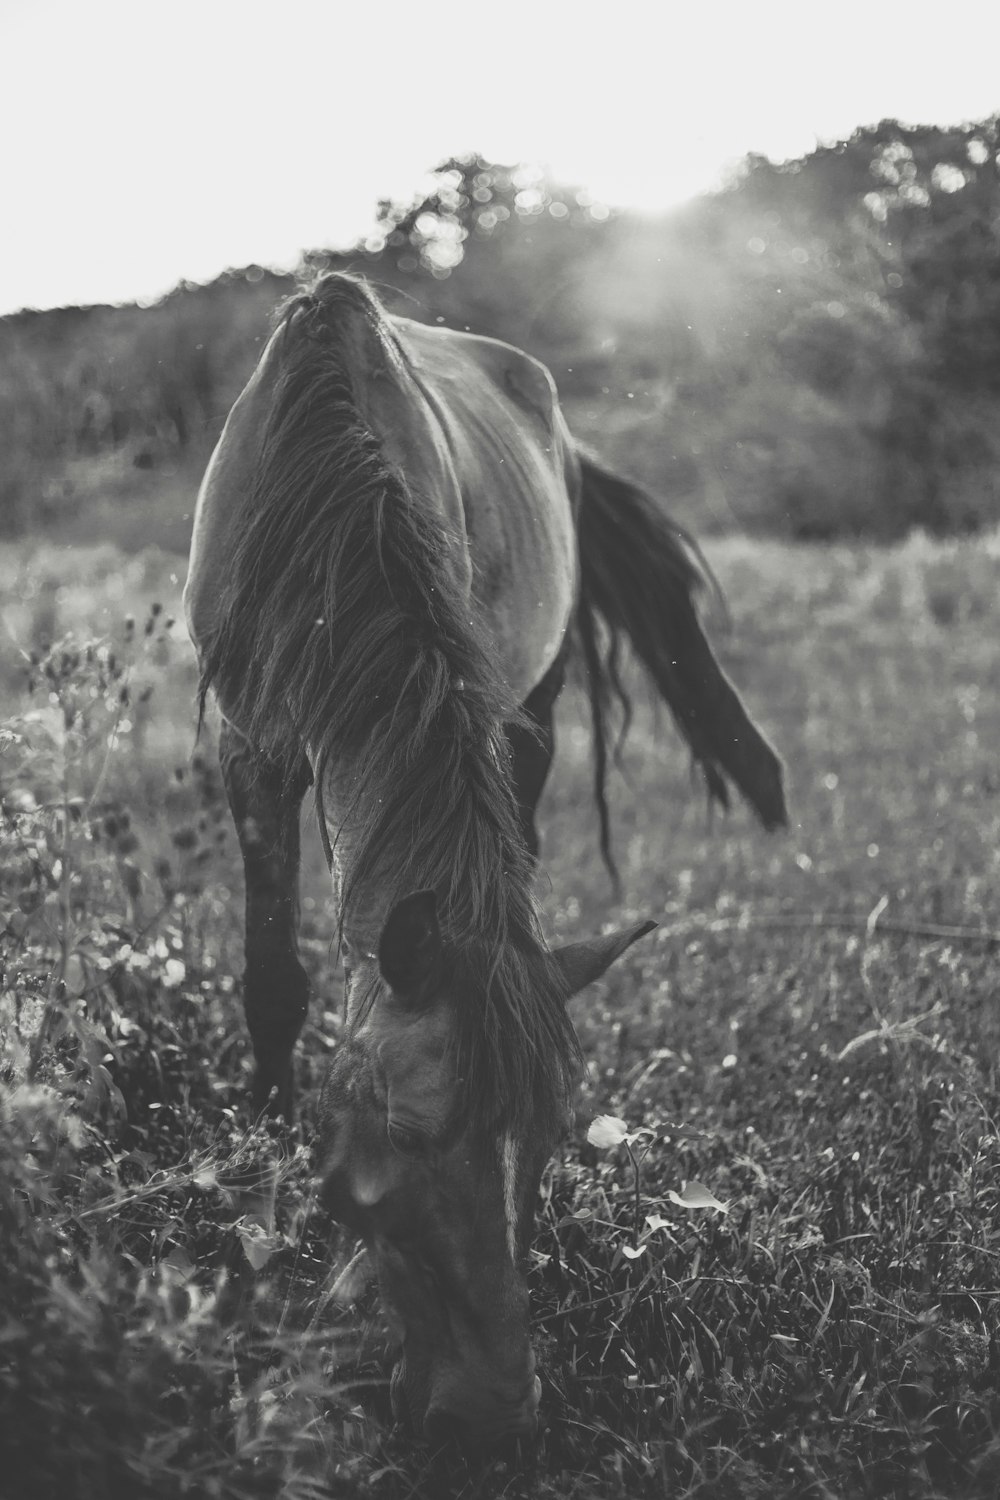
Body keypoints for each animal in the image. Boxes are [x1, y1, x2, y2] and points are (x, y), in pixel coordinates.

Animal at [183, 273, 785, 1452]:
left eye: (548, 1141)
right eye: (401, 1146)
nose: (494, 1421)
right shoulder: (252, 750)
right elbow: (274, 976)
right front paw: (267, 1123)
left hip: (533, 706)